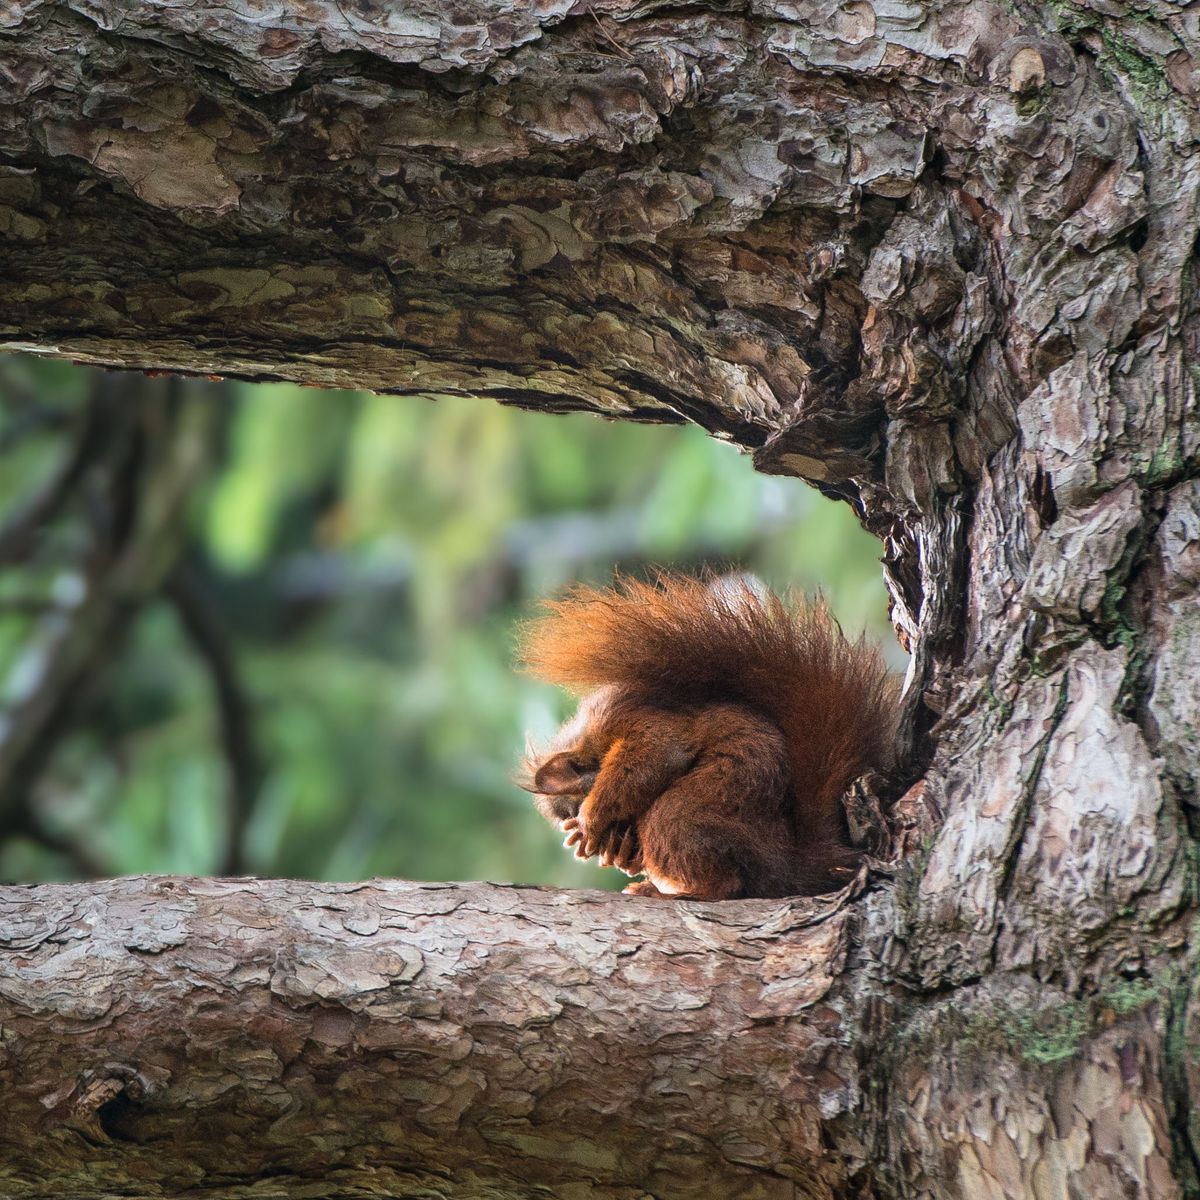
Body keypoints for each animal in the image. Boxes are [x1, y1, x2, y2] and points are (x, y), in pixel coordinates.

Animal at [520, 573, 897, 902]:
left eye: (576, 805)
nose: (605, 847)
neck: (588, 736)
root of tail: (787, 863)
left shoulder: (632, 717)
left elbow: (657, 752)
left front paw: (590, 820)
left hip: (692, 809)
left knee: (726, 883)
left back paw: (672, 892)